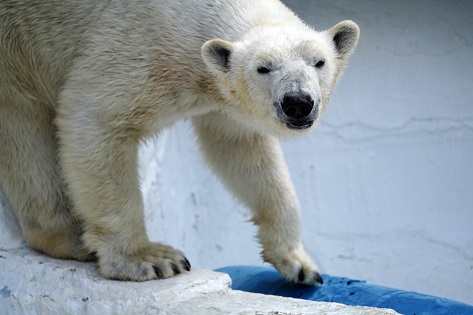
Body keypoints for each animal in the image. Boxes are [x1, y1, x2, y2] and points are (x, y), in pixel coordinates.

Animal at [0, 0, 358, 286]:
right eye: (263, 68)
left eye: (319, 62)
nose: (297, 102)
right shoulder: (138, 46)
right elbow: (94, 118)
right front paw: (146, 259)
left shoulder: (220, 96)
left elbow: (240, 148)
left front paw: (299, 263)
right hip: (17, 44)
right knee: (25, 125)